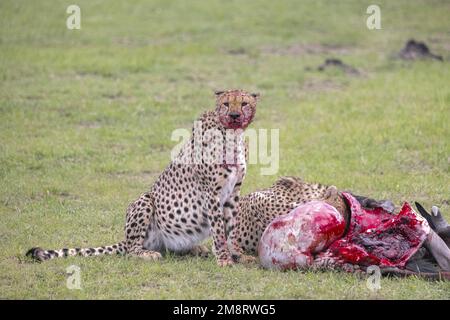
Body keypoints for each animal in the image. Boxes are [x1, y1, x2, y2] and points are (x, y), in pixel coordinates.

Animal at [28, 89, 258, 266]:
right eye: (226, 104)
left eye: (244, 103)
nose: (235, 115)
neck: (232, 134)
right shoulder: (212, 194)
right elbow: (219, 230)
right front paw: (224, 259)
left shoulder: (233, 192)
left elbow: (231, 228)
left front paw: (237, 255)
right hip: (145, 201)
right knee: (131, 251)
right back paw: (147, 254)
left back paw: (196, 249)